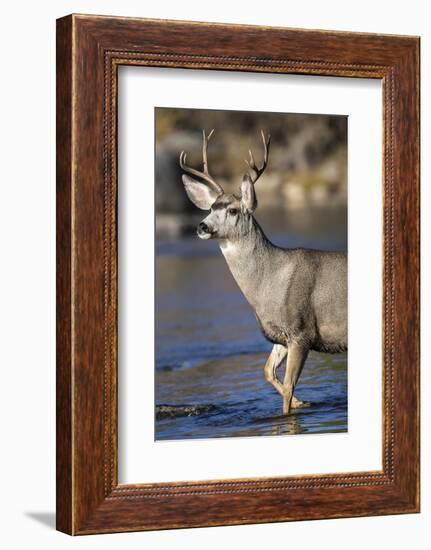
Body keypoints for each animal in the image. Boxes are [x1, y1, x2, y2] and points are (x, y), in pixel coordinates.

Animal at [179, 130, 348, 414]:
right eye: (211, 208)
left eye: (233, 210)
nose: (202, 226)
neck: (270, 282)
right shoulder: (280, 336)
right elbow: (268, 371)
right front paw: (304, 402)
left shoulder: (301, 330)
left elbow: (288, 388)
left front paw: (292, 409)